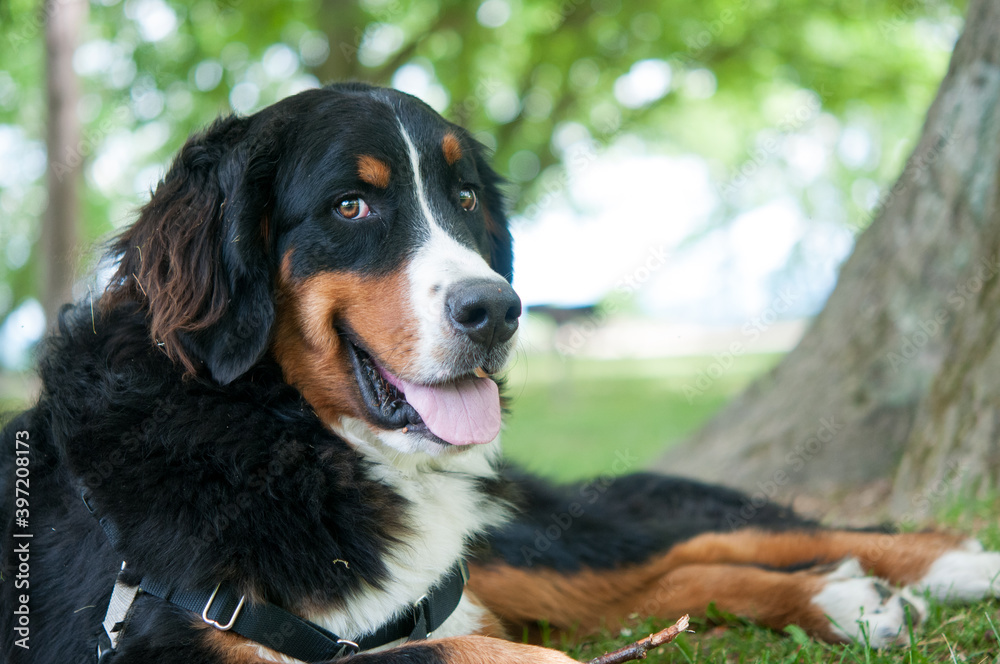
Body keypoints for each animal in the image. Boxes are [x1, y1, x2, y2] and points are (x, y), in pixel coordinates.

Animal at [5, 83, 1000, 664]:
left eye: (466, 198)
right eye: (351, 206)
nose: (497, 311)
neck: (276, 435)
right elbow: (468, 653)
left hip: (506, 546)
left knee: (686, 548)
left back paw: (936, 567)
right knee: (663, 578)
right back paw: (846, 597)